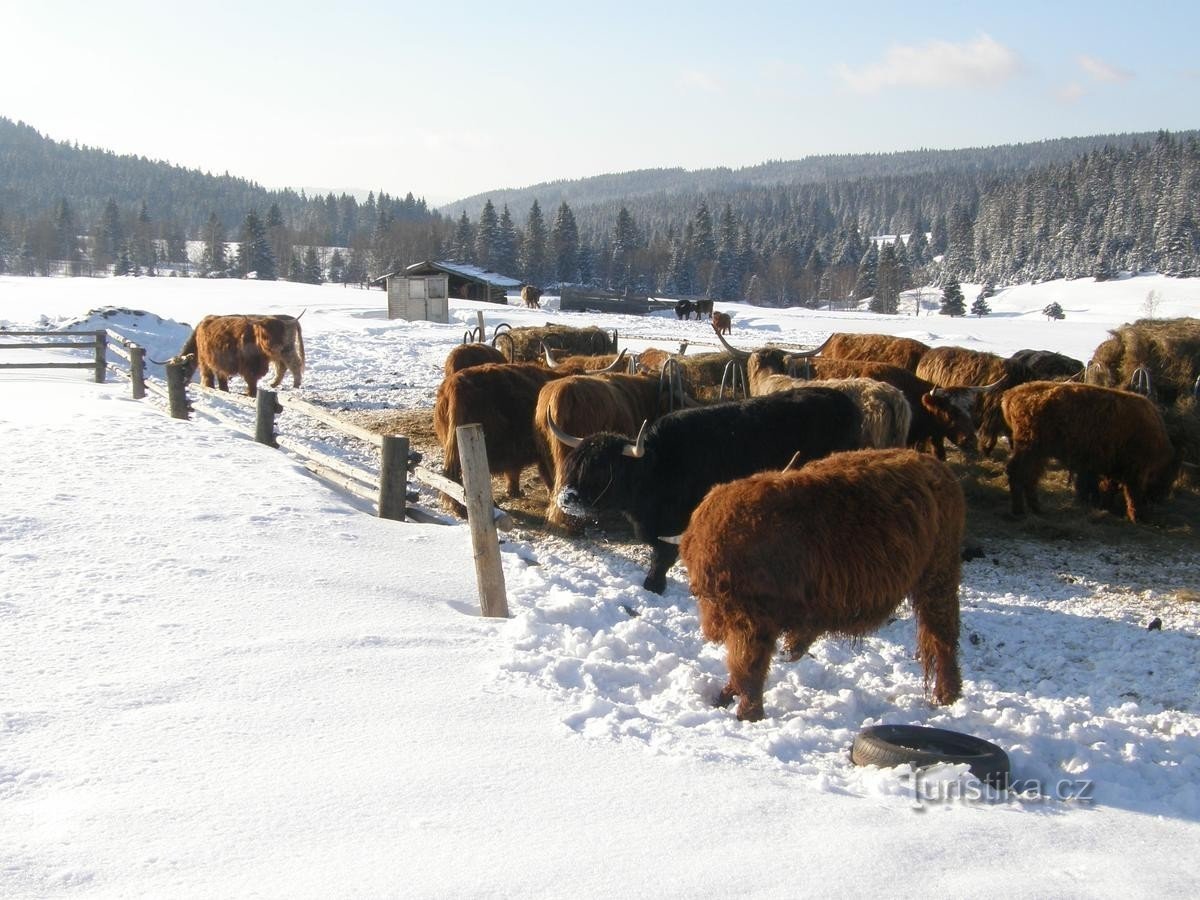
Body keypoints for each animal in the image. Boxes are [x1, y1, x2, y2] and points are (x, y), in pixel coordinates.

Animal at [552, 391, 864, 595]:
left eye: (602, 470)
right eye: (574, 465)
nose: (567, 498)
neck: (660, 465)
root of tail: (844, 400)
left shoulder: (676, 523)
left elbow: (663, 555)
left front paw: (653, 585)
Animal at [998, 381, 1176, 525]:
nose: (1160, 499)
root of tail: (1012, 393)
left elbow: (1111, 487)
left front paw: (1107, 508)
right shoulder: (1135, 471)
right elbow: (1132, 494)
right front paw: (1137, 518)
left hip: (1039, 453)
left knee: (1030, 477)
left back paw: (1037, 510)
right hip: (1030, 449)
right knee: (1017, 473)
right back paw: (1019, 511)